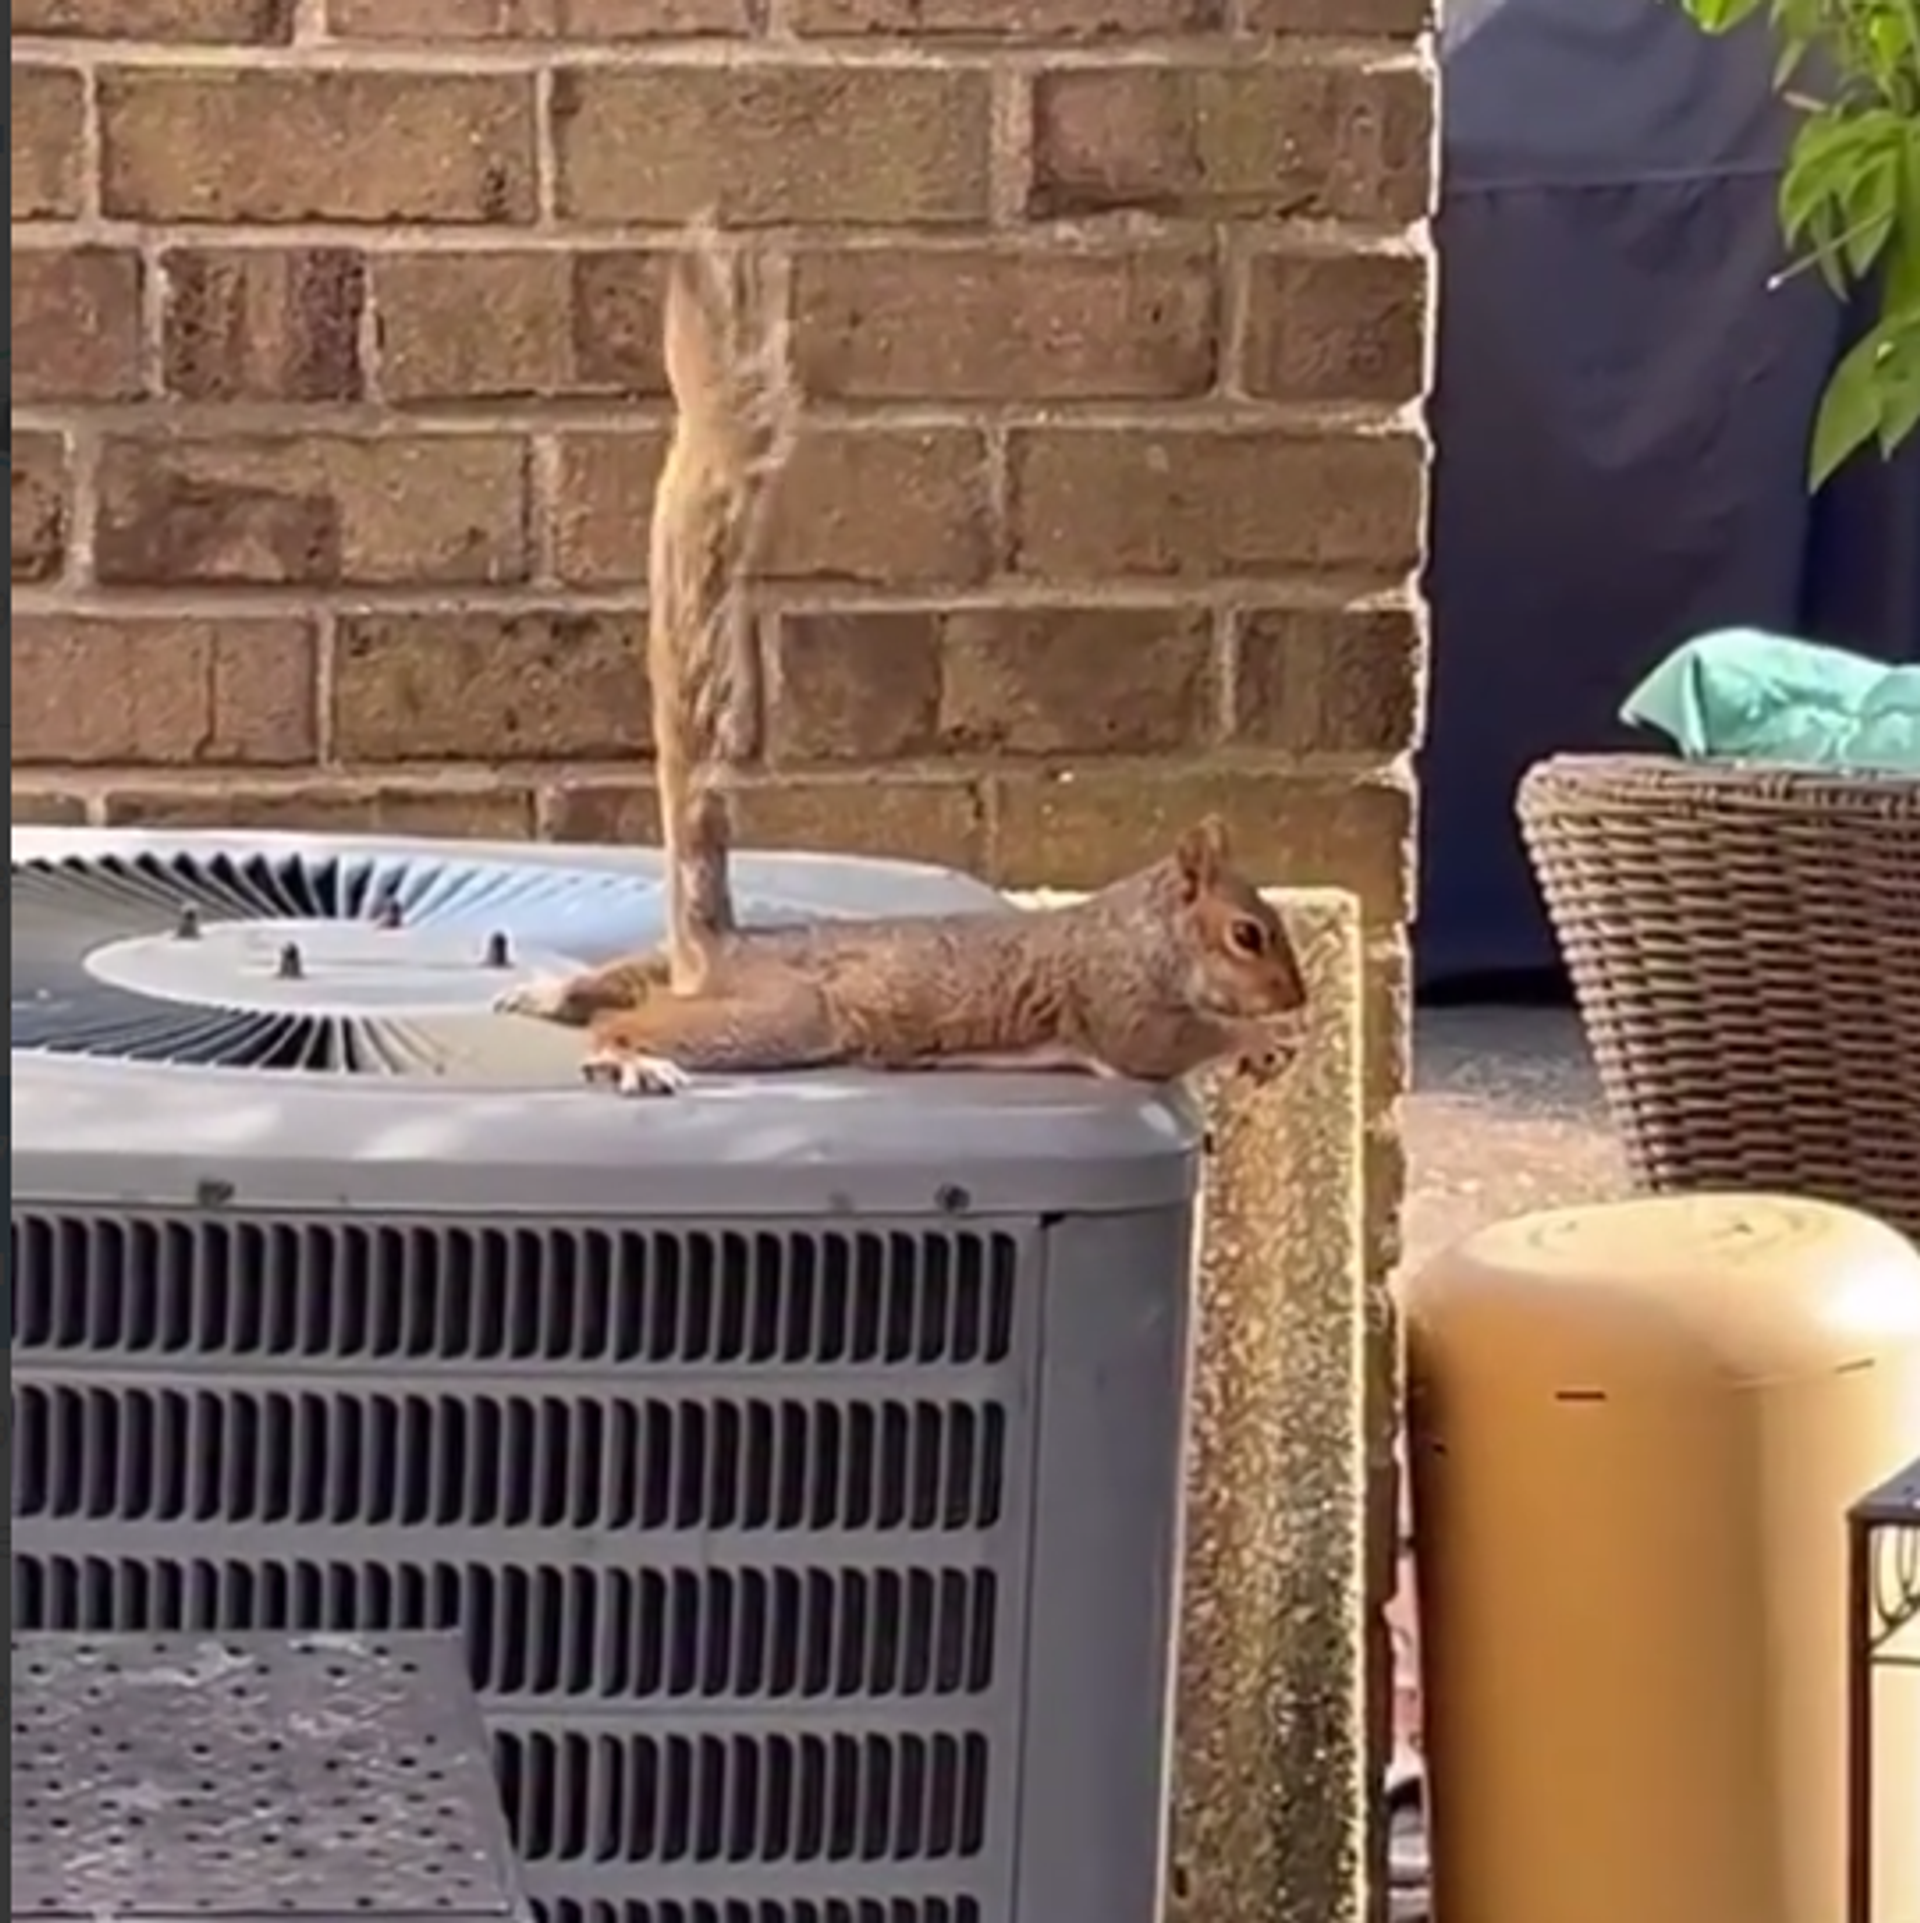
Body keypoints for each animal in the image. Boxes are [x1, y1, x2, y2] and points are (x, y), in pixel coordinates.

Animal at [497, 219, 1311, 1097]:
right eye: (1247, 934)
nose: (1295, 995)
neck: (1144, 931)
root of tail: (721, 951)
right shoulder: (1117, 1000)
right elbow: (1159, 1046)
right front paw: (1256, 1037)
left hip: (687, 981)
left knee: (621, 977)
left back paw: (551, 990)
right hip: (783, 1015)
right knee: (631, 1021)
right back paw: (633, 1057)